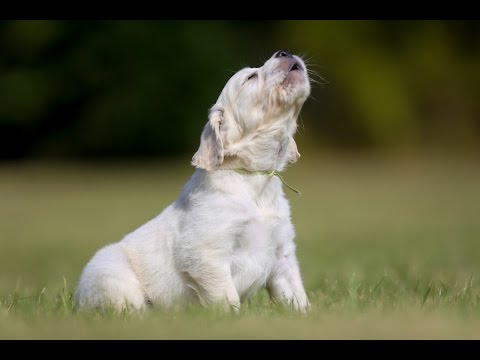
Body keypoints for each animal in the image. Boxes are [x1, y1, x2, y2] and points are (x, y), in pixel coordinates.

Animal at [73, 50, 310, 312]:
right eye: (250, 78)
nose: (284, 52)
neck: (253, 178)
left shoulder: (282, 254)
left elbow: (296, 295)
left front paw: (305, 314)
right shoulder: (208, 255)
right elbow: (227, 299)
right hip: (113, 279)